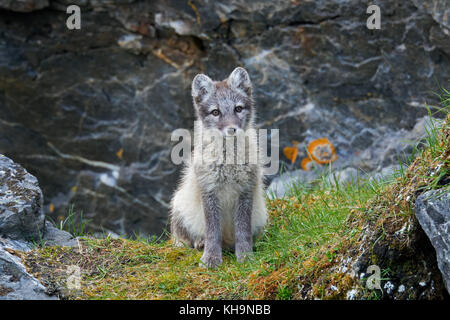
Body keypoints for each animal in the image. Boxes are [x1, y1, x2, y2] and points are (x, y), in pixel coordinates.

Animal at [169, 67, 268, 268]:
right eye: (215, 112)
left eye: (238, 108)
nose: (231, 129)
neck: (229, 163)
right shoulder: (209, 190)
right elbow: (212, 232)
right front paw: (211, 258)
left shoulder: (246, 190)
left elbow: (243, 231)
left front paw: (245, 256)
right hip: (179, 205)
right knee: (187, 239)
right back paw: (200, 243)